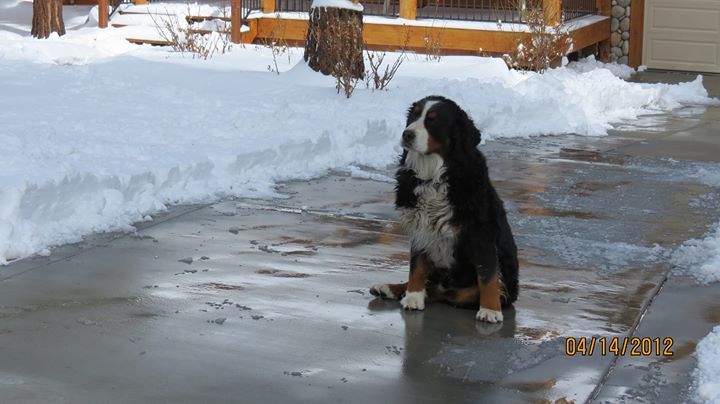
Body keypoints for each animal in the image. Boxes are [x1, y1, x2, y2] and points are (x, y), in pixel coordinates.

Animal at [372, 96, 516, 324]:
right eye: (414, 116)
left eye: (433, 121)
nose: (407, 134)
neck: (433, 175)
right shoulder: (420, 226)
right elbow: (416, 267)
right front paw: (413, 296)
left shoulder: (481, 232)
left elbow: (488, 274)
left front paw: (490, 309)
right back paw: (389, 289)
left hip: (470, 290)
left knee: (448, 293)